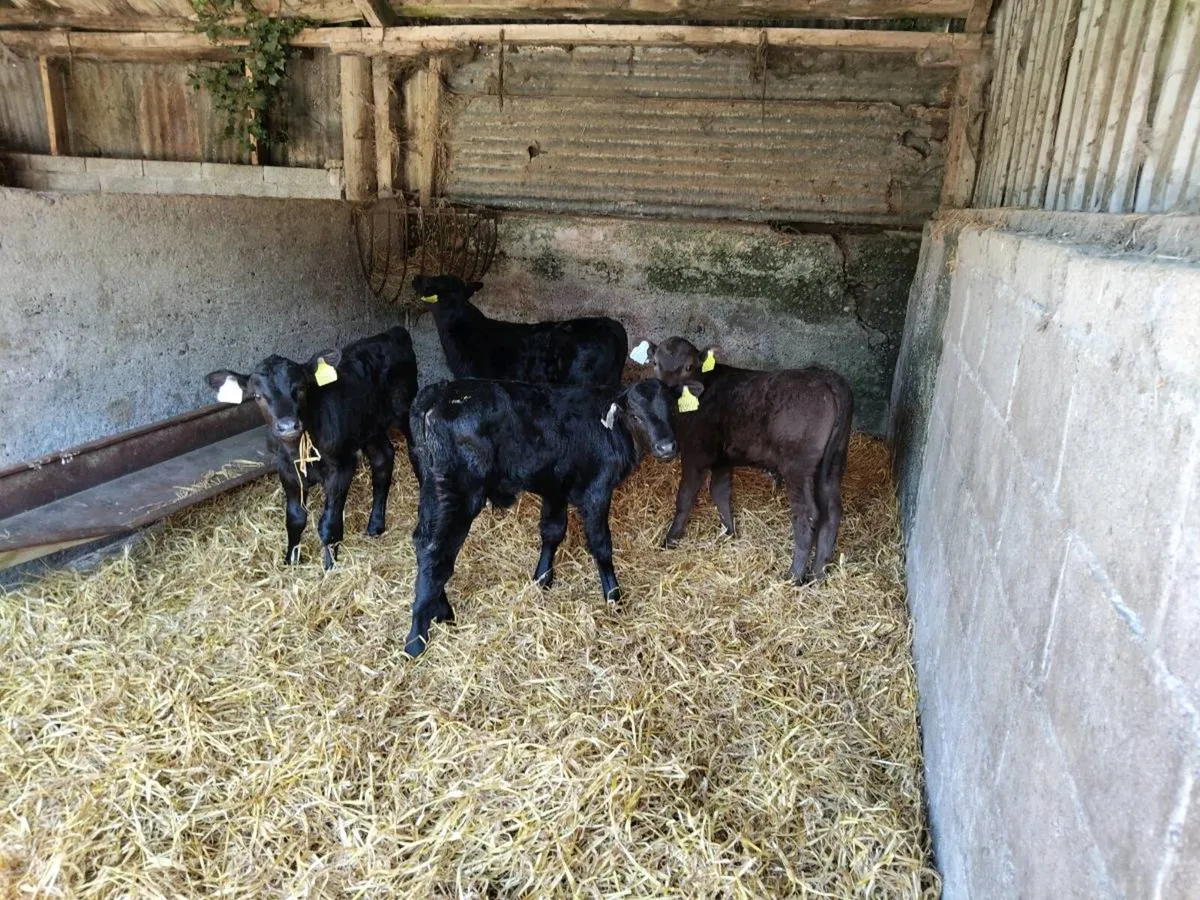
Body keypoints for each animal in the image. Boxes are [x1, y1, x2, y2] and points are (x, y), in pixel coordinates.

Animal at [205, 326, 419, 570]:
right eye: (258, 396)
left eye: (301, 389)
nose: (288, 425)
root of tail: (393, 332)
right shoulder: (287, 471)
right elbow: (295, 518)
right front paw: (290, 561)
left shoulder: (342, 467)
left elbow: (329, 523)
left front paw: (330, 566)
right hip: (370, 428)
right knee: (383, 459)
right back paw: (375, 525)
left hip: (405, 411)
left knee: (415, 452)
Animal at [402, 376, 698, 657]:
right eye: (635, 415)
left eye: (672, 409)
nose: (666, 447)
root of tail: (439, 393)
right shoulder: (597, 491)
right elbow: (601, 545)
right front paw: (613, 596)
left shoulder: (556, 487)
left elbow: (552, 532)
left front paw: (542, 578)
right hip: (459, 493)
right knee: (436, 552)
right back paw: (417, 638)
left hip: (432, 487)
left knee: (425, 544)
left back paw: (441, 613)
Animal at [636, 336, 853, 584]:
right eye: (655, 363)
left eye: (689, 367)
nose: (668, 389)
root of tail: (825, 377)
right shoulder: (722, 458)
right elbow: (720, 493)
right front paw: (729, 533)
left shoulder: (695, 453)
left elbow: (685, 498)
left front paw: (669, 540)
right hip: (833, 463)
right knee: (832, 512)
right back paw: (818, 575)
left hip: (798, 466)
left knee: (808, 514)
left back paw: (794, 576)